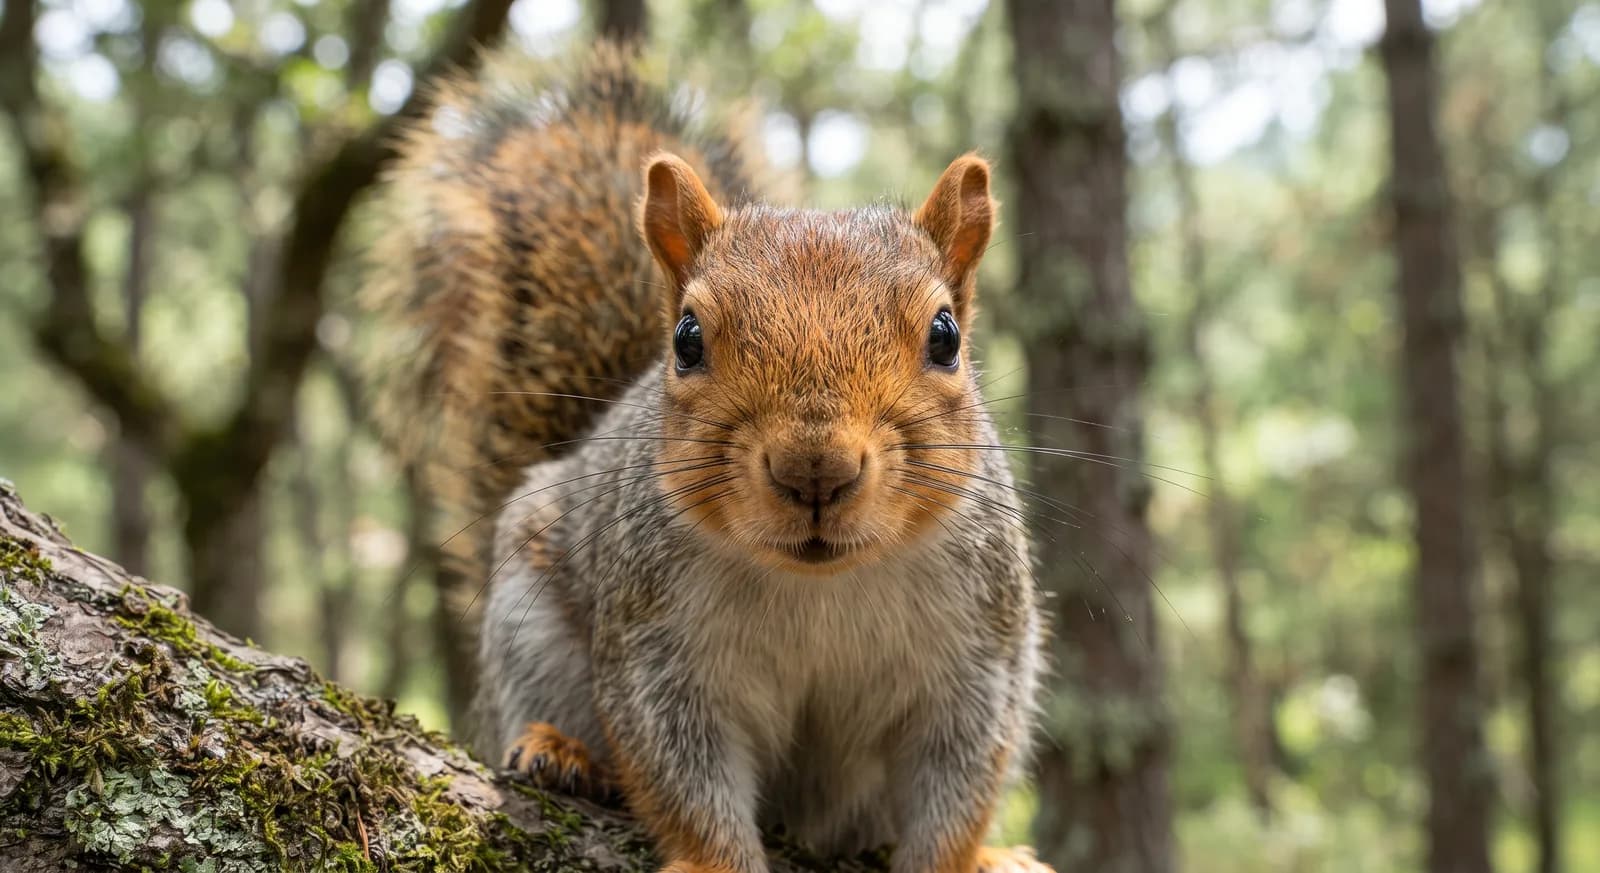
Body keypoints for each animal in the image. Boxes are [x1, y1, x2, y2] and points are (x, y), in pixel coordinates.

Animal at [365, 43, 1050, 873]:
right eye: (687, 338)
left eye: (946, 336)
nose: (814, 468)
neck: (818, 584)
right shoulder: (656, 645)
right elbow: (683, 774)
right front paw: (712, 858)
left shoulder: (981, 650)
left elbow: (960, 783)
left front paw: (964, 856)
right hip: (528, 624)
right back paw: (562, 752)